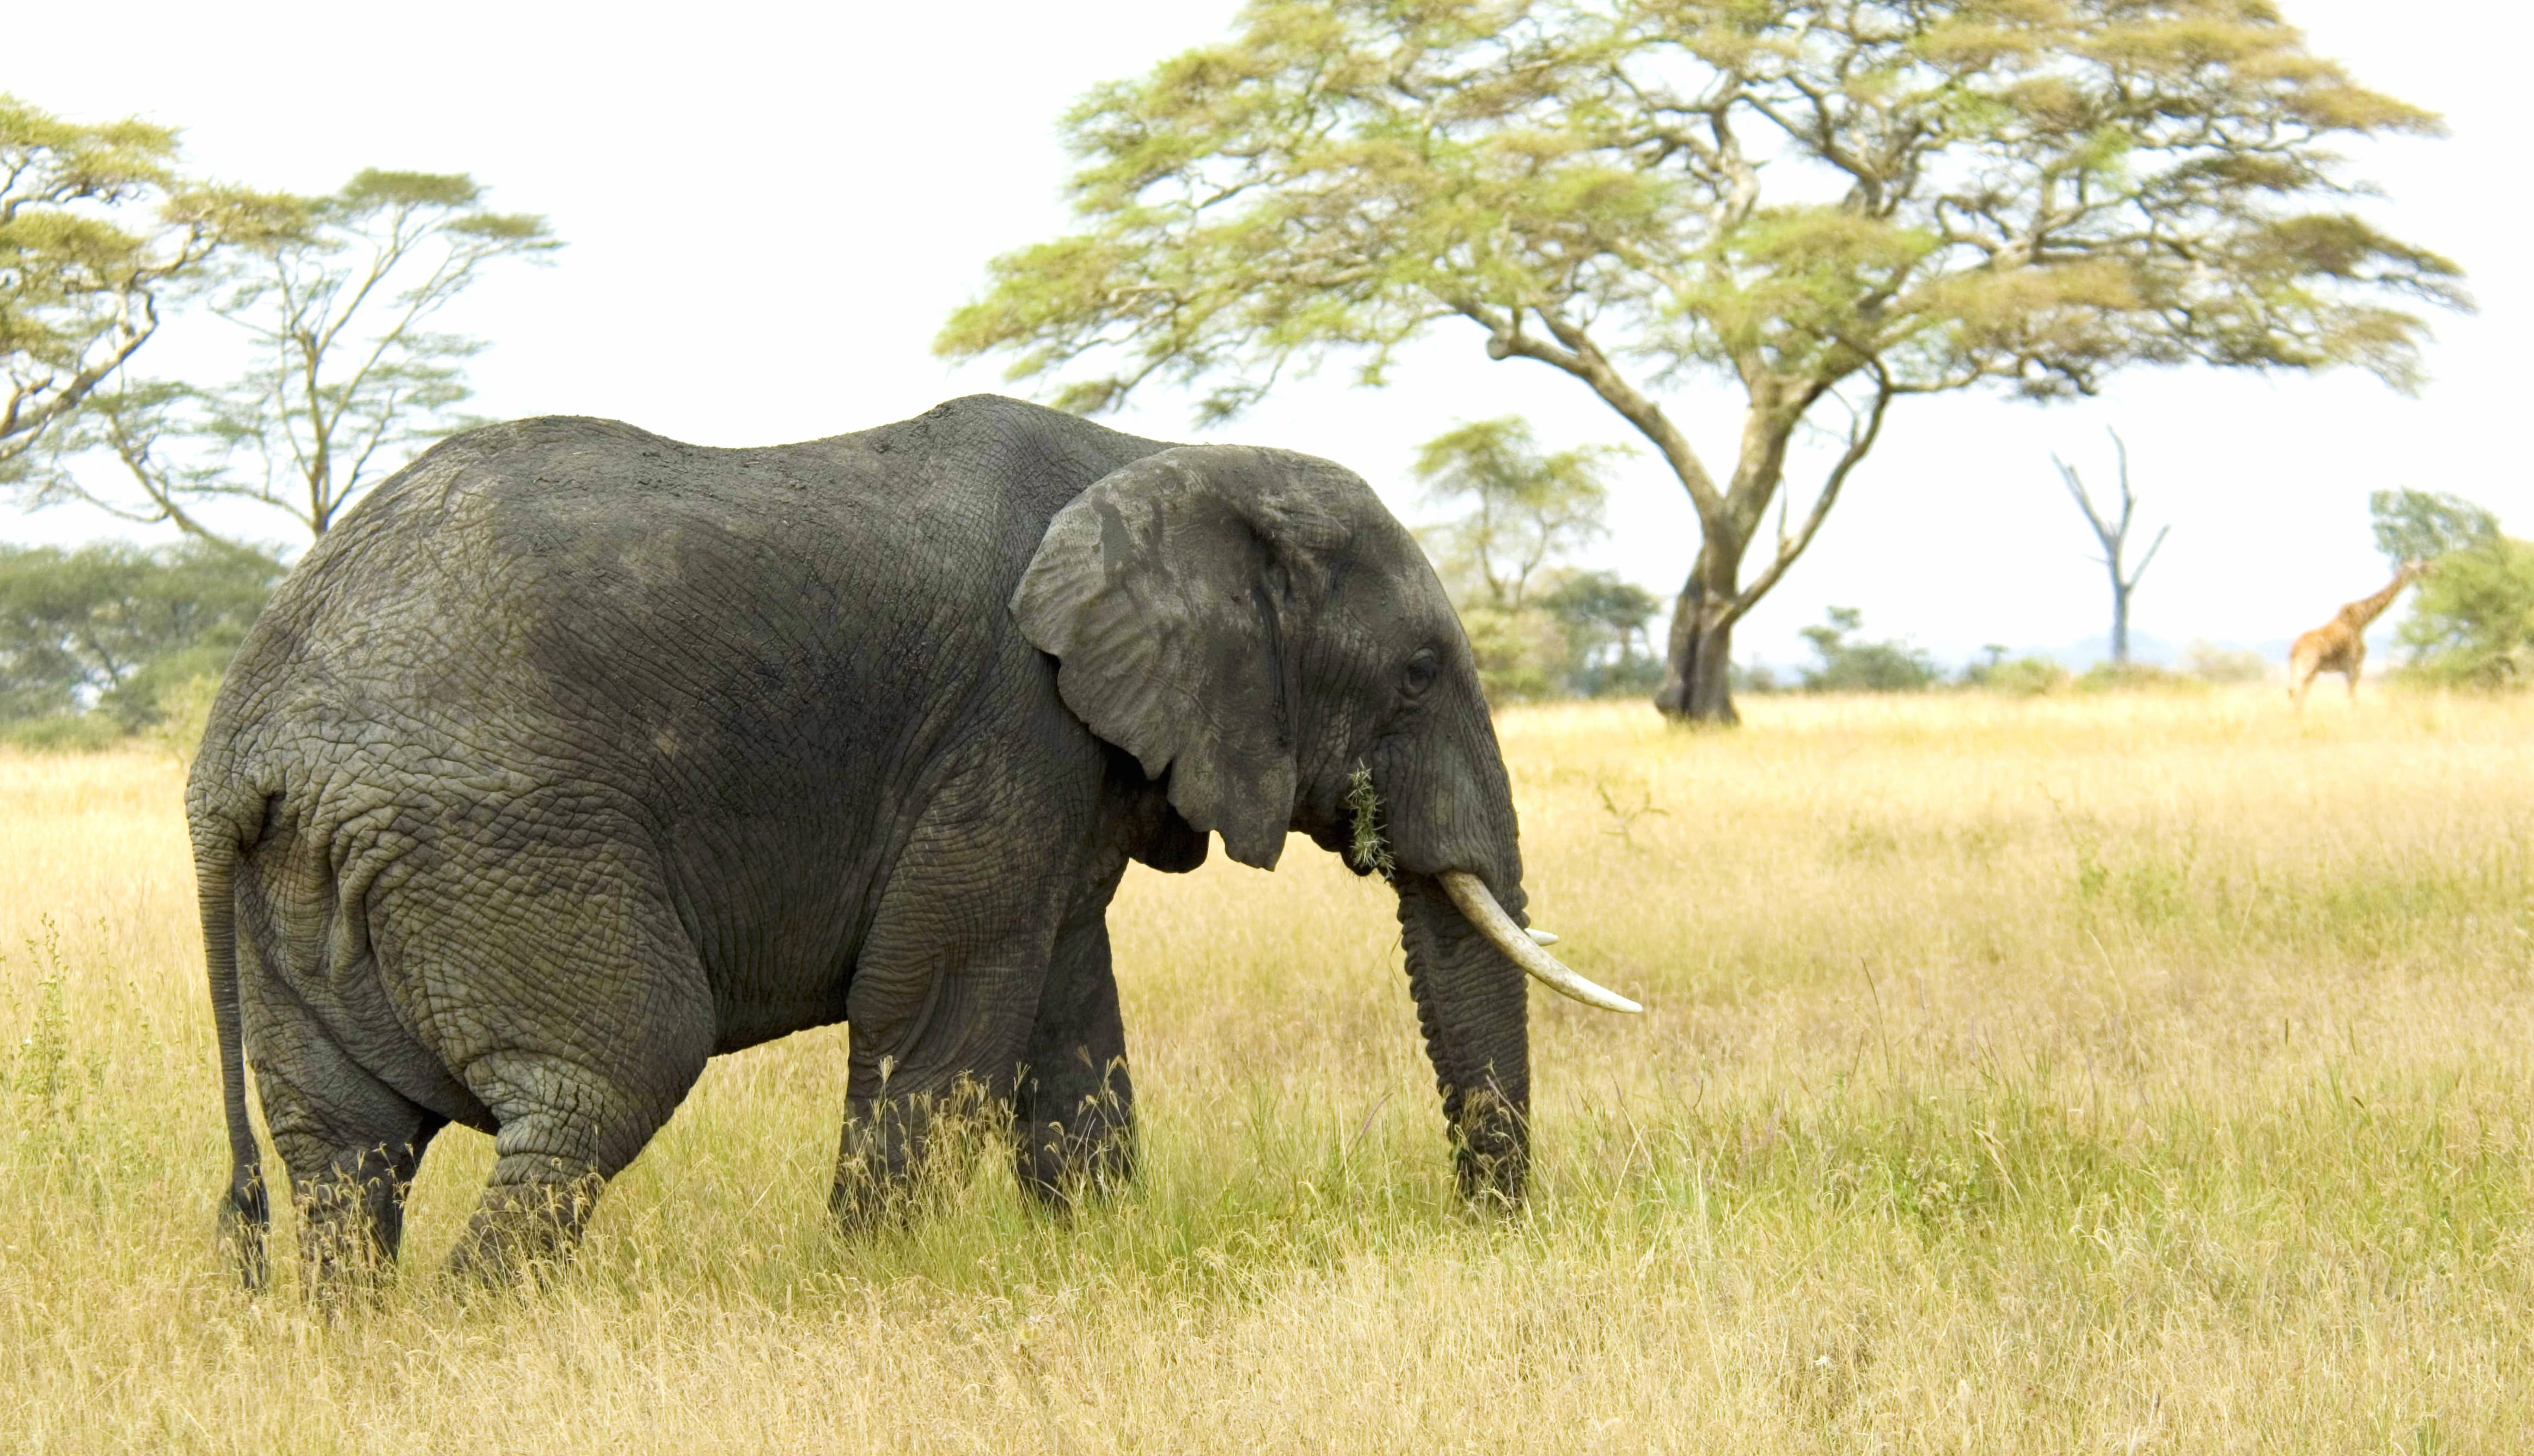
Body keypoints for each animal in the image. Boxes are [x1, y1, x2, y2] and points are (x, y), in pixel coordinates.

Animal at [187, 390, 1632, 1286]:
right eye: (1413, 673)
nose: (1487, 1231)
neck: (1165, 457)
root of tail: (239, 744)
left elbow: (1065, 1015)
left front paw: (1091, 1256)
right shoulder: (1008, 723)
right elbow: (937, 1010)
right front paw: (868, 1279)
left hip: (317, 877)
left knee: (345, 1153)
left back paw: (363, 1341)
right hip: (499, 836)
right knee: (603, 1081)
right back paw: (484, 1326)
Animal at [2280, 562, 2432, 709]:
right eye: (2420, 566)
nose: (2433, 569)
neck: (2363, 620)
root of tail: (2293, 650)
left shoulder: (2350, 668)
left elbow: (2351, 695)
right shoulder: (2354, 664)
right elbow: (2352, 697)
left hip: (2306, 669)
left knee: (2296, 692)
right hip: (2307, 666)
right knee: (2295, 690)